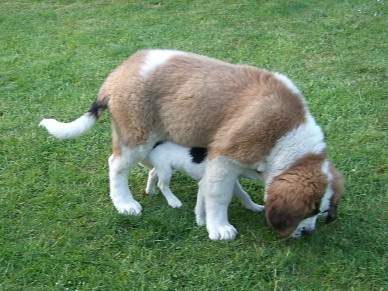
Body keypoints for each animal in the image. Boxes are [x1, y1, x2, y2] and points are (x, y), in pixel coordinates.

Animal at [39, 50, 344, 241]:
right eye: (309, 213)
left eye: (322, 213)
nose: (309, 233)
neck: (286, 137)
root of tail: (117, 73)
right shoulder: (224, 159)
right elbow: (219, 196)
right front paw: (219, 228)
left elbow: (240, 190)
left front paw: (253, 206)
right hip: (137, 135)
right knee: (116, 165)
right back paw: (125, 203)